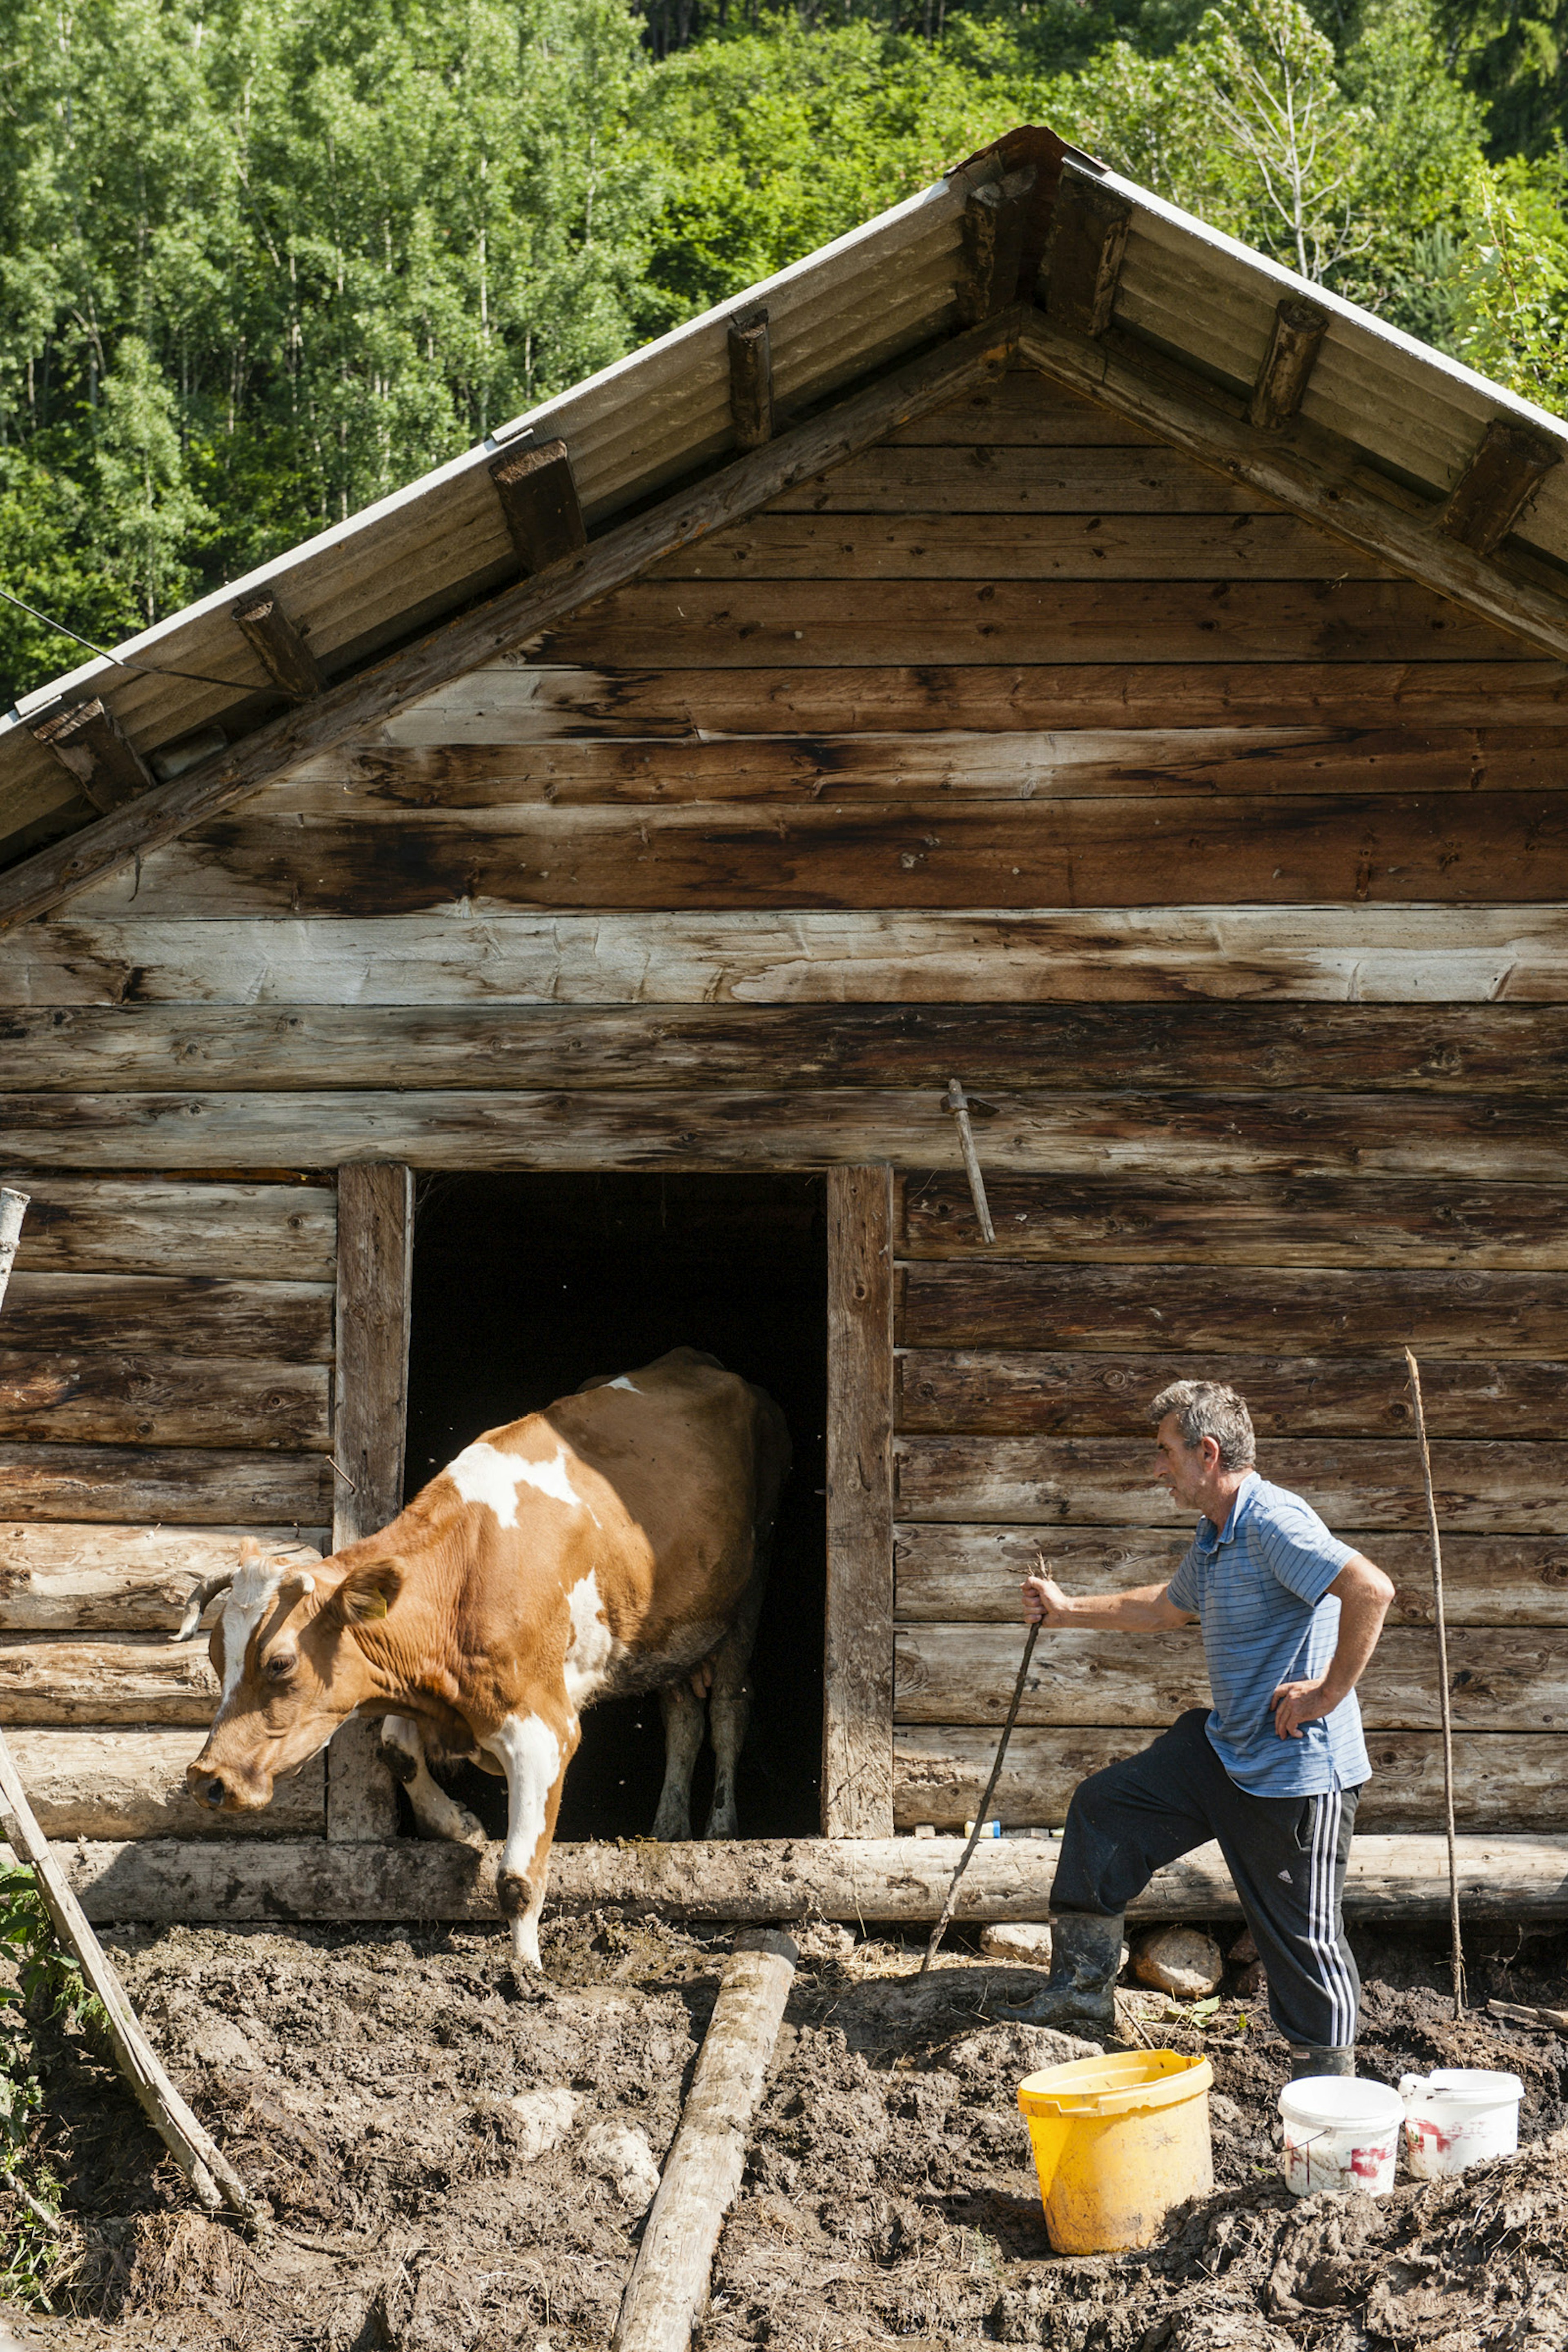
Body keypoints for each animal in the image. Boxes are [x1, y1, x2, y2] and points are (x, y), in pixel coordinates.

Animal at [177, 1354, 790, 1957]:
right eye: (216, 1659)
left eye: (280, 1663)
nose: (207, 1780)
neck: (464, 1577)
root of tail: (694, 1360)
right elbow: (398, 1750)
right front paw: (457, 1824)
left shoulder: (546, 1728)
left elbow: (517, 1881)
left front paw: (526, 1971)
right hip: (672, 1633)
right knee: (682, 1716)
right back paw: (667, 1828)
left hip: (748, 1593)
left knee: (727, 1710)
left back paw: (721, 1828)